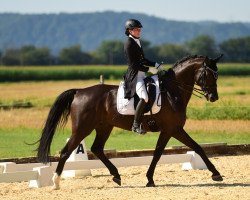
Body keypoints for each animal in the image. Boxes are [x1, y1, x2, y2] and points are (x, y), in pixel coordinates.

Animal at [36, 54, 224, 189]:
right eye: (208, 74)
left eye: (216, 75)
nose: (213, 97)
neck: (172, 91)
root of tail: (79, 91)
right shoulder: (173, 129)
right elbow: (182, 149)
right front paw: (216, 174)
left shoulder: (171, 130)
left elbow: (176, 150)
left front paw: (149, 179)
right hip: (82, 128)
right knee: (66, 151)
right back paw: (55, 183)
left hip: (104, 127)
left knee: (97, 148)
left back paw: (116, 176)